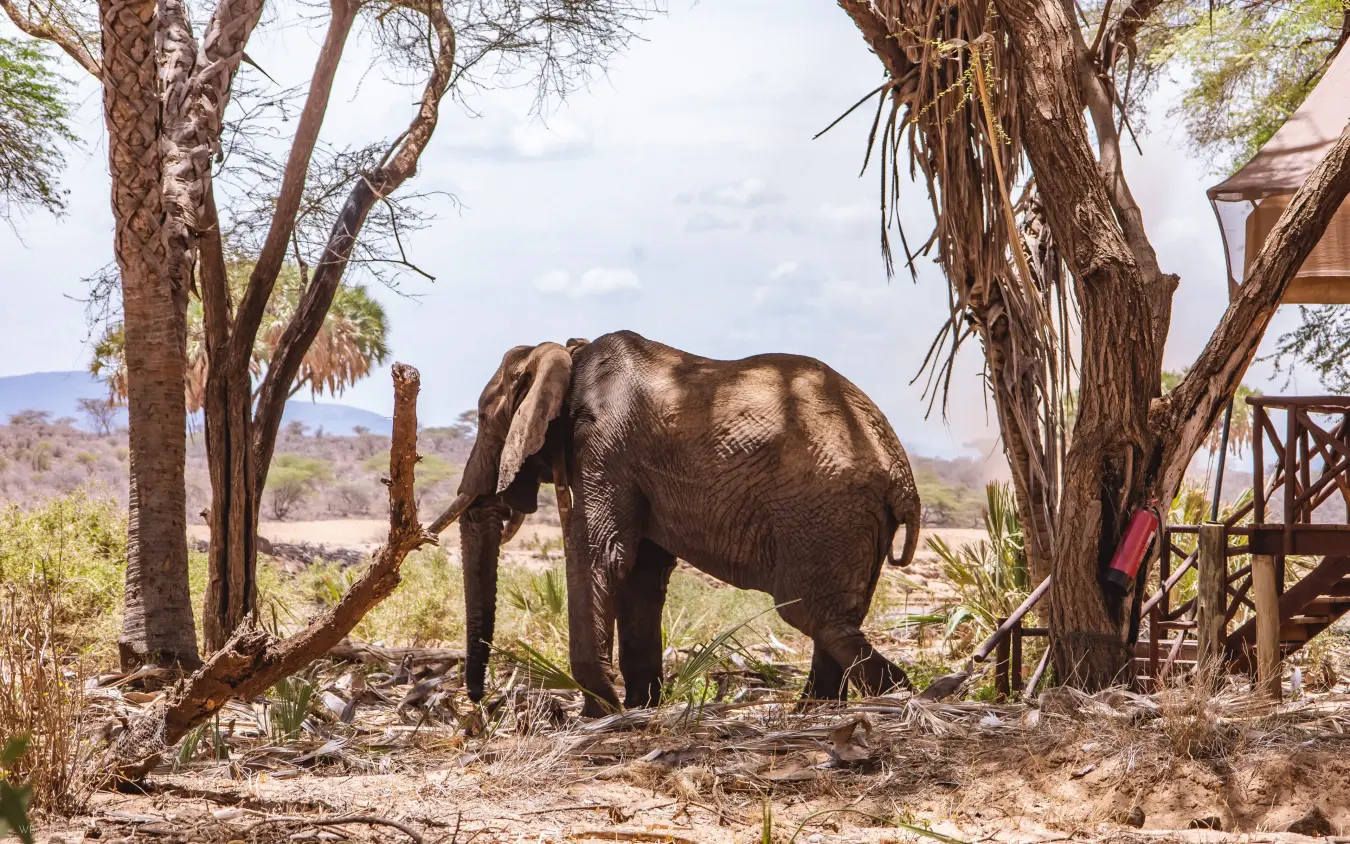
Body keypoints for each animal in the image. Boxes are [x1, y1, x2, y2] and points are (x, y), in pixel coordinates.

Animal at [430, 330, 922, 716]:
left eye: (483, 418)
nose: (477, 701)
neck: (570, 354)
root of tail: (902, 476)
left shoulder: (604, 447)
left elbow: (599, 555)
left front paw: (600, 713)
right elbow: (641, 574)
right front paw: (639, 708)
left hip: (823, 514)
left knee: (812, 614)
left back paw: (899, 698)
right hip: (853, 521)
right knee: (836, 619)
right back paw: (818, 711)